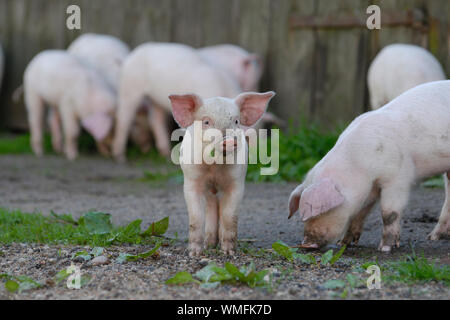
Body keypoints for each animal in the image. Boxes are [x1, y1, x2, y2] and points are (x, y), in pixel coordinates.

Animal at [169, 91, 274, 256]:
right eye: (206, 122)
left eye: (236, 121)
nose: (229, 140)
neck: (215, 167)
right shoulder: (191, 181)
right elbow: (196, 218)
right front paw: (194, 253)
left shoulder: (237, 182)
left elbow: (229, 216)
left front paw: (229, 252)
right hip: (209, 193)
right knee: (211, 208)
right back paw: (209, 245)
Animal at [288, 80, 450, 252]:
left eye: (321, 211)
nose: (306, 244)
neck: (359, 164)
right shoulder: (370, 188)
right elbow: (360, 212)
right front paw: (343, 244)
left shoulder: (398, 177)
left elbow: (389, 213)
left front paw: (385, 248)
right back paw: (433, 237)